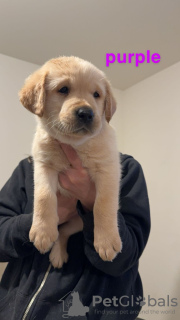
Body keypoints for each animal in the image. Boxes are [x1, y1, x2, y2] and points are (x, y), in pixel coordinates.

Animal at [19, 57, 121, 268]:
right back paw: (56, 252)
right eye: (63, 89)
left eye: (97, 94)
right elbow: (44, 196)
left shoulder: (108, 168)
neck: (74, 144)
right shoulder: (43, 164)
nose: (86, 113)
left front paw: (107, 241)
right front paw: (42, 231)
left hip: (80, 221)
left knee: (65, 231)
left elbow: (103, 203)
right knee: (62, 231)